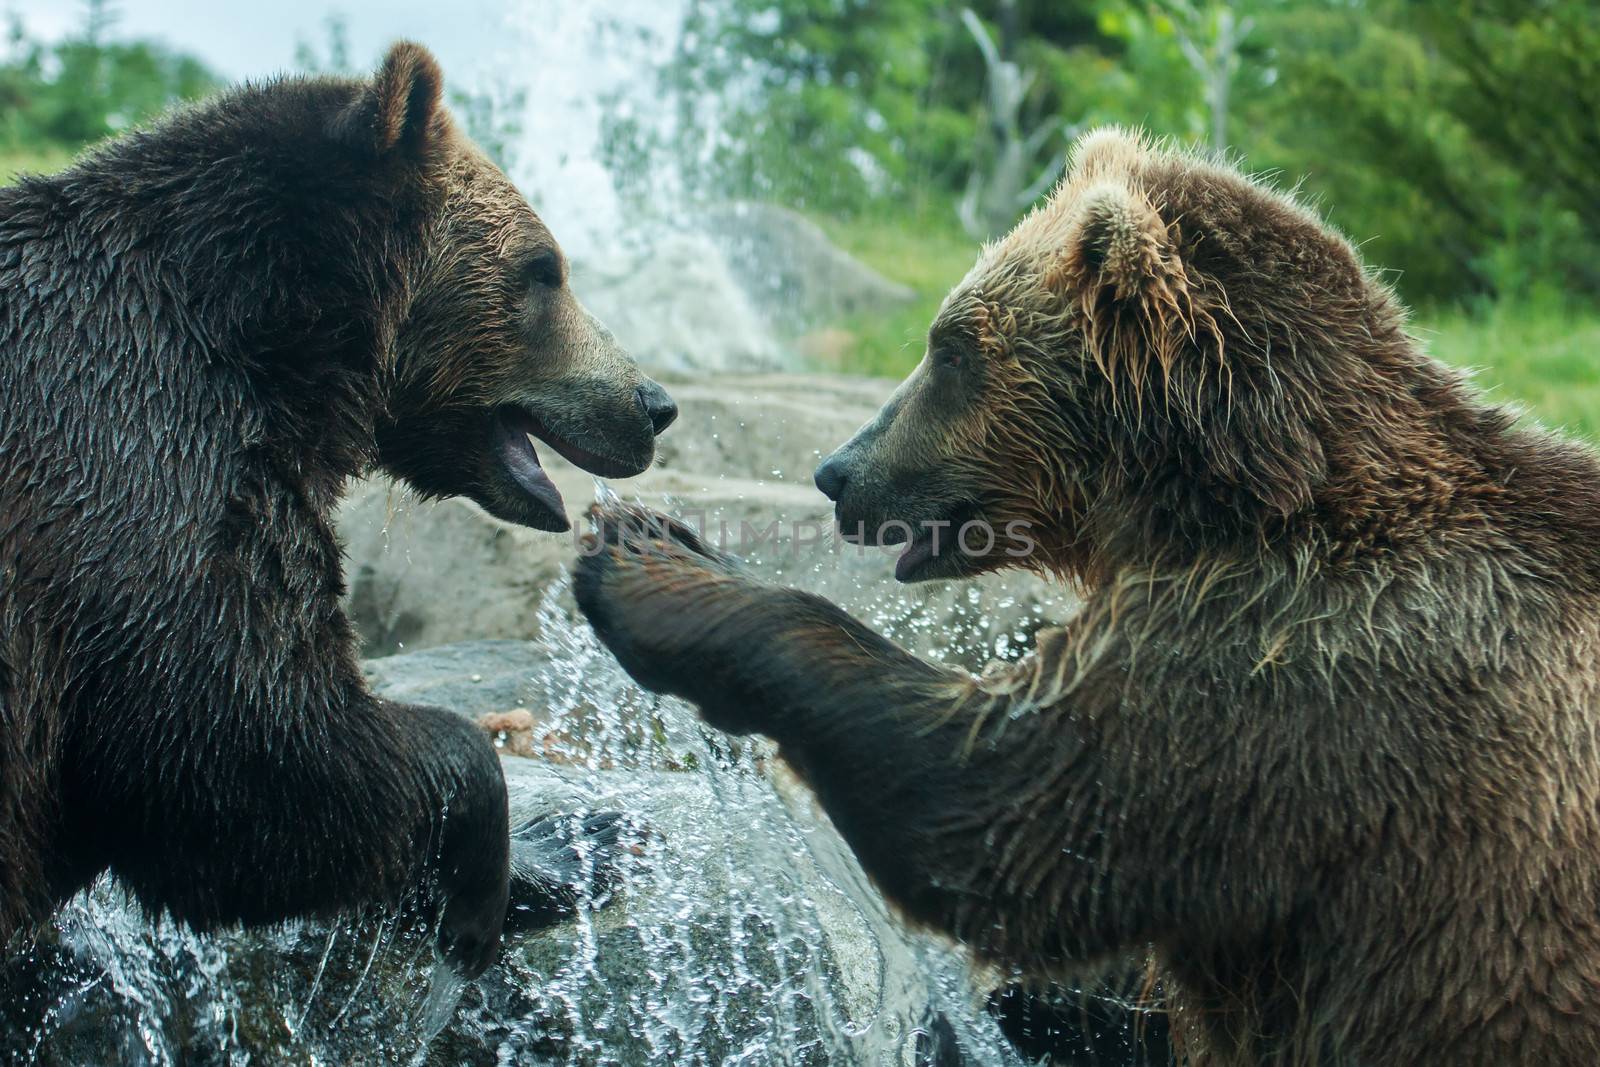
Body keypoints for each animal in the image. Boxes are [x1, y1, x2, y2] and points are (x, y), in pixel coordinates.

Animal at [0, 43, 668, 979]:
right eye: (545, 269)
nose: (652, 403)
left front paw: (582, 840)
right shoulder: (138, 459)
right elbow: (250, 750)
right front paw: (499, 870)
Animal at [576, 129, 1600, 1062]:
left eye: (950, 348)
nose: (838, 470)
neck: (1229, 501)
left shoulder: (1298, 675)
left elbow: (999, 806)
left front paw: (652, 560)